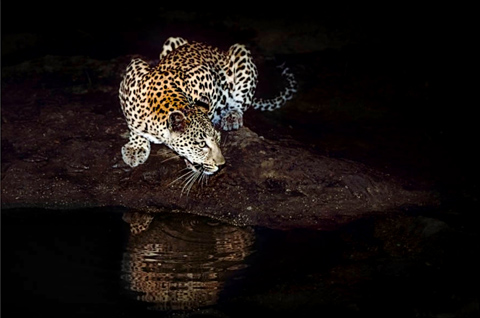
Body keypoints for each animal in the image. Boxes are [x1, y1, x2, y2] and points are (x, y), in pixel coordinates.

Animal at [119, 36, 296, 180]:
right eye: (201, 144)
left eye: (217, 139)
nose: (222, 164)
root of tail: (217, 49)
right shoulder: (130, 76)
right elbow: (133, 124)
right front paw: (135, 147)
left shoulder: (208, 77)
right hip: (172, 40)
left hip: (241, 53)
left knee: (241, 101)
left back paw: (232, 116)